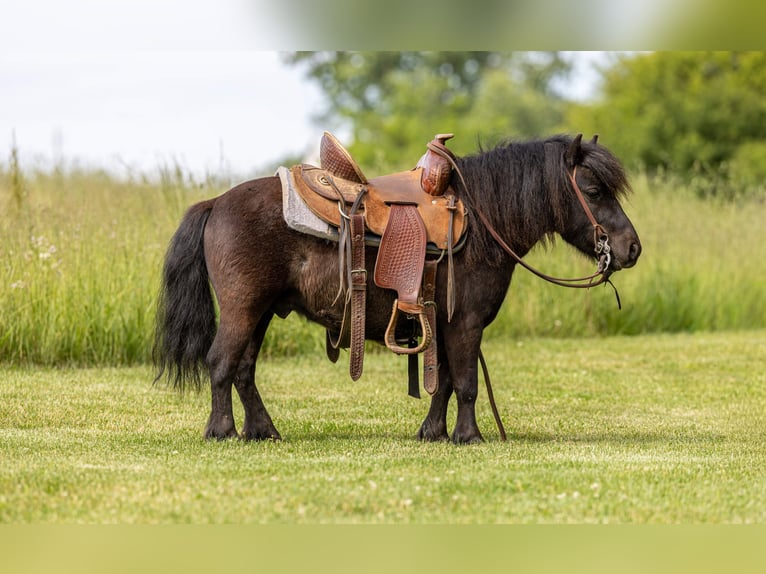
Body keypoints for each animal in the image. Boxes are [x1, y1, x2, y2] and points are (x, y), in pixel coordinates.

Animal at [153, 133, 641, 444]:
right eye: (593, 190)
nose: (631, 248)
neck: (482, 223)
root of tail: (216, 203)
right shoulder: (465, 323)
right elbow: (466, 382)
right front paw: (469, 436)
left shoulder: (441, 325)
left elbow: (443, 381)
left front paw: (433, 433)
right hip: (243, 309)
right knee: (221, 363)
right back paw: (222, 432)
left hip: (262, 313)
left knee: (244, 370)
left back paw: (263, 431)